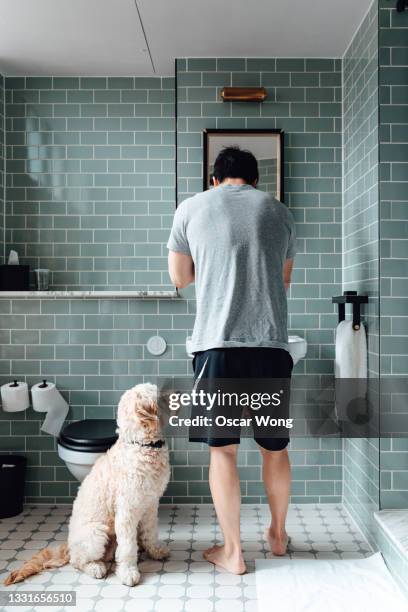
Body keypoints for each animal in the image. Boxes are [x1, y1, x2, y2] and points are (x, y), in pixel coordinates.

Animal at [4, 382, 171, 588]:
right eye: (160, 393)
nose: (179, 392)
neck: (141, 444)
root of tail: (68, 546)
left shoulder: (150, 505)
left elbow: (150, 532)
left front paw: (155, 551)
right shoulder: (126, 512)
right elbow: (127, 547)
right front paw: (128, 572)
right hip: (96, 534)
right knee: (78, 561)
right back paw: (95, 568)